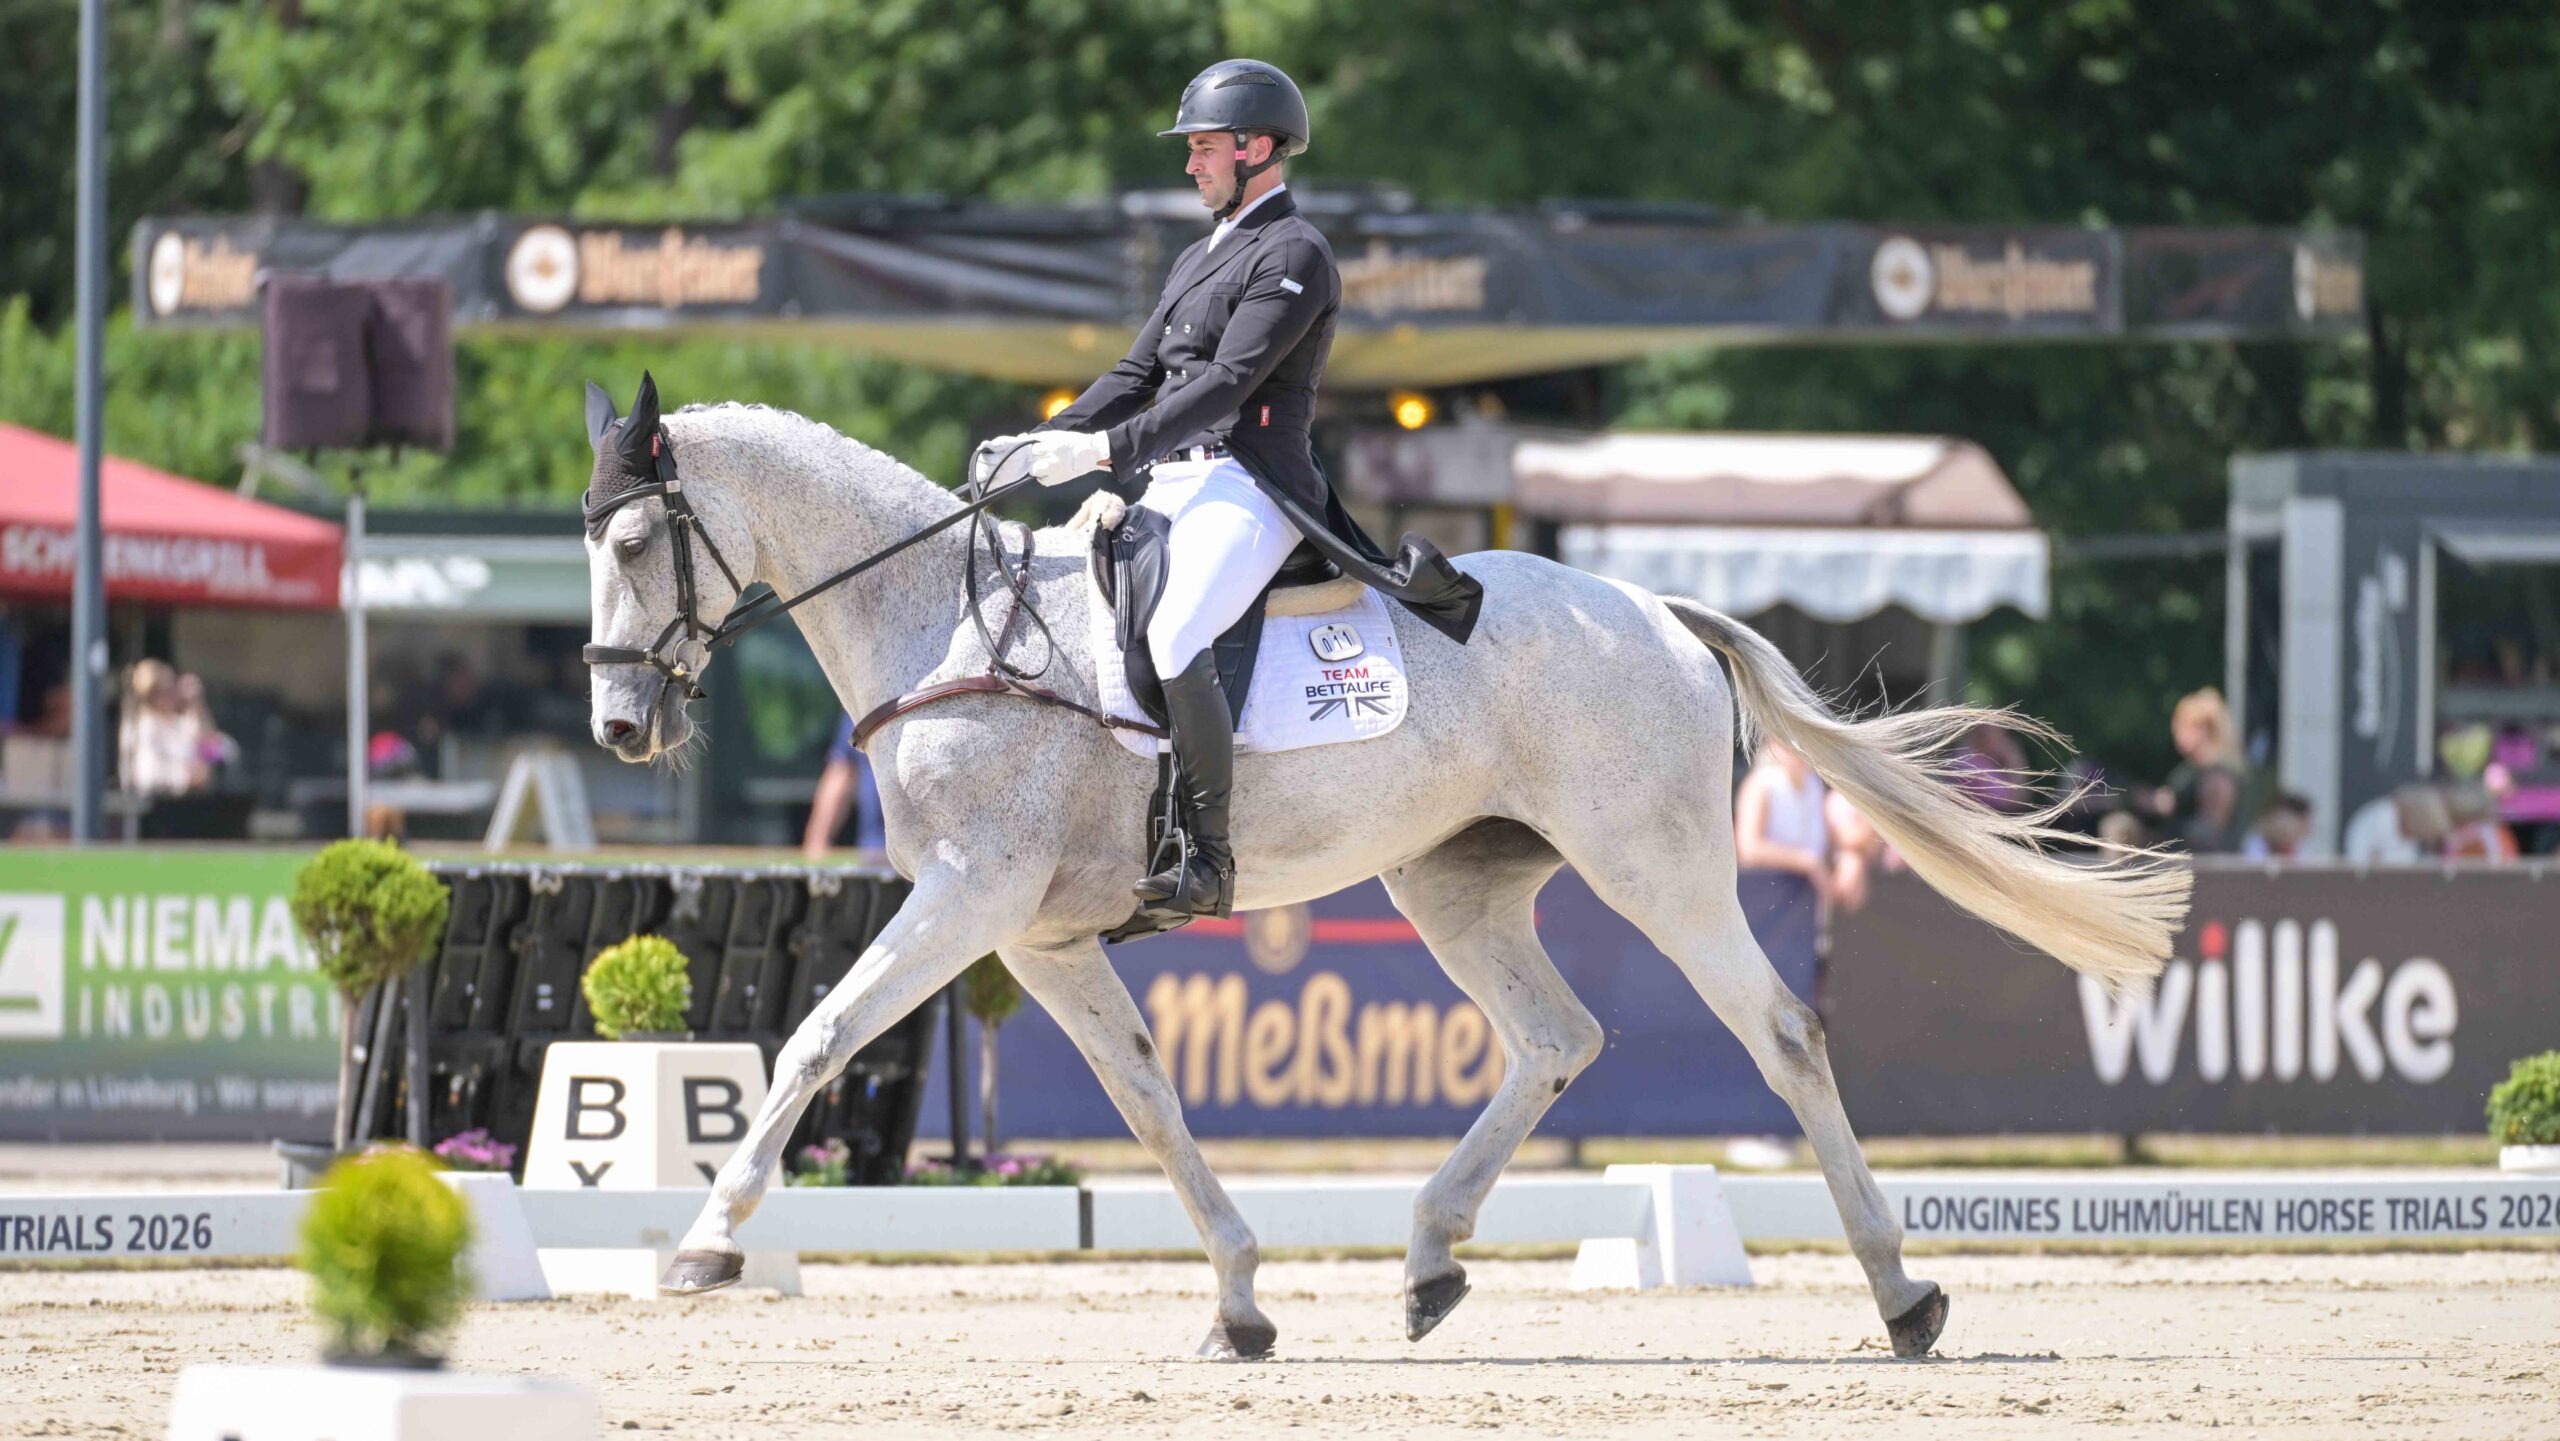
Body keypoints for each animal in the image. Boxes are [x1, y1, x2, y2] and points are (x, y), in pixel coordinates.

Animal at [577, 375, 2190, 1360]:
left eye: (643, 538)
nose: (617, 724)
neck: (948, 623)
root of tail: (1655, 606)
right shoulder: (1038, 935)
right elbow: (1148, 1098)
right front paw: (1239, 1302)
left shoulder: (970, 896)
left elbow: (818, 1036)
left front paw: (706, 1245)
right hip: (1456, 881)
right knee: (1557, 1037)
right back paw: (1426, 1258)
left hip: (1654, 864)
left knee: (1781, 1031)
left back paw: (1904, 1295)